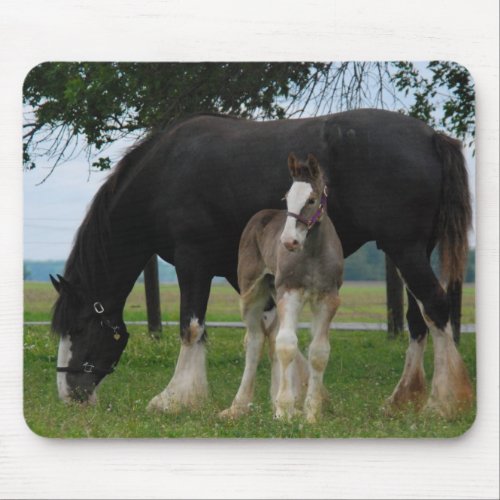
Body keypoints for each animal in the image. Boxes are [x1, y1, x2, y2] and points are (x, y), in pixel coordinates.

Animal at [50, 108, 472, 418]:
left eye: (79, 328)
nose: (69, 394)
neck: (165, 174)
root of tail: (431, 136)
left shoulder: (193, 262)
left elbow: (191, 327)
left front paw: (176, 397)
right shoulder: (251, 275)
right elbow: (270, 332)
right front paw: (290, 396)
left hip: (405, 249)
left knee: (435, 308)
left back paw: (442, 402)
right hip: (411, 251)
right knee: (419, 319)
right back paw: (402, 399)